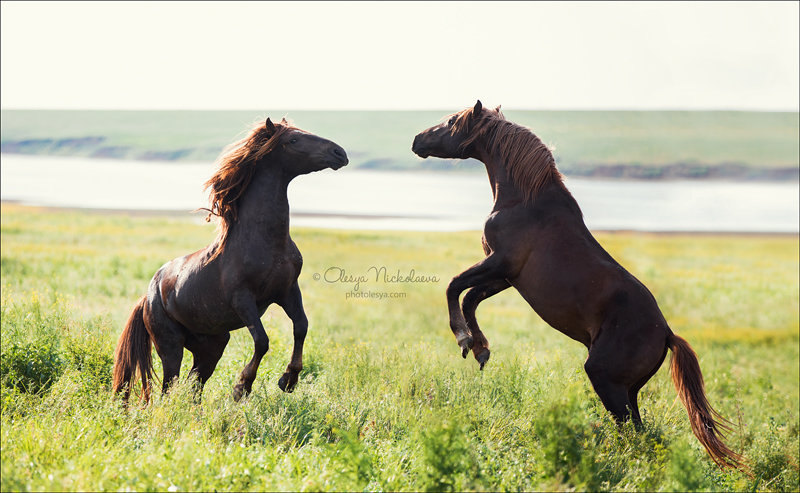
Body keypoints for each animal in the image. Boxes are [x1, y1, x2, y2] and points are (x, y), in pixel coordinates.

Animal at [113, 117, 346, 402]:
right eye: (293, 140)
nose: (339, 153)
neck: (265, 241)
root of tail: (147, 297)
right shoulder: (242, 299)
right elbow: (262, 340)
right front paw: (242, 386)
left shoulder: (288, 291)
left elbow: (301, 327)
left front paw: (289, 380)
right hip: (170, 345)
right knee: (169, 387)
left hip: (211, 346)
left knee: (194, 385)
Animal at [412, 101, 744, 468]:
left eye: (451, 121)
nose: (417, 140)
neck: (524, 200)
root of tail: (667, 334)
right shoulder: (506, 277)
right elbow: (470, 297)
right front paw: (480, 349)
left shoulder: (500, 263)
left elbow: (454, 287)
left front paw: (463, 339)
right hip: (629, 390)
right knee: (638, 430)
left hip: (607, 381)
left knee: (632, 432)